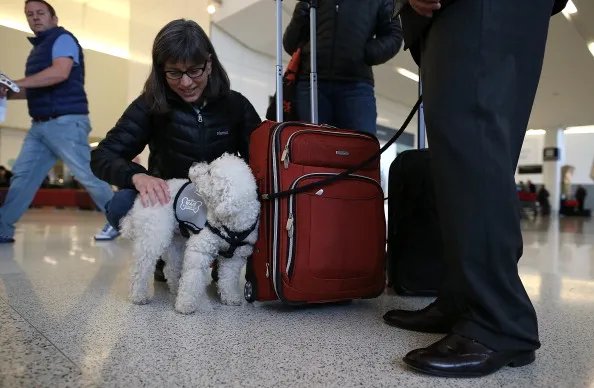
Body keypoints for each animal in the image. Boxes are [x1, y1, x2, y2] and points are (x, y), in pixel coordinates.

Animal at [119, 153, 258, 314]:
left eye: (210, 172)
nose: (194, 163)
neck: (230, 223)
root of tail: (140, 198)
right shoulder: (199, 252)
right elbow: (192, 280)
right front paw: (185, 305)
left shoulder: (234, 259)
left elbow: (229, 279)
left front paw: (231, 297)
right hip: (153, 236)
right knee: (140, 268)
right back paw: (138, 296)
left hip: (175, 240)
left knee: (171, 267)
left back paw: (175, 288)